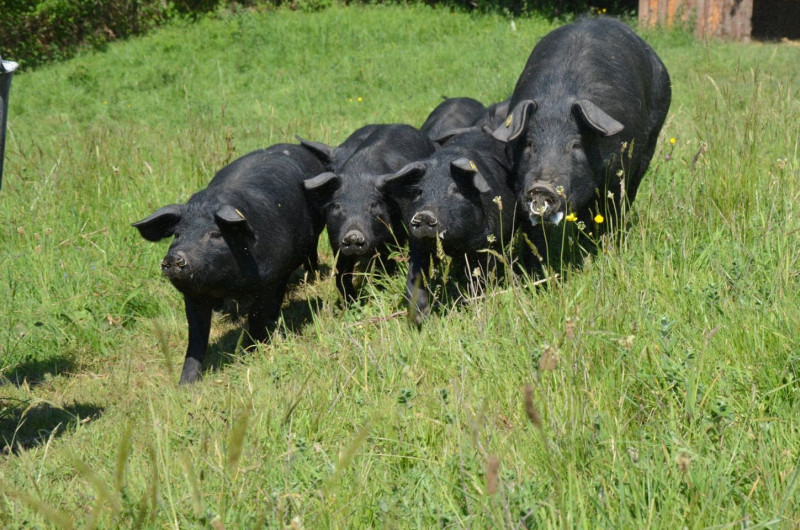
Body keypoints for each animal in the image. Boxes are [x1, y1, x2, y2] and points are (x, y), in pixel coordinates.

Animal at [131, 144, 324, 384]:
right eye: (177, 234)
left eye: (215, 234)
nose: (175, 258)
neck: (224, 283)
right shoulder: (193, 295)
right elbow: (196, 336)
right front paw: (186, 384)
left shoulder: (268, 280)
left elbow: (255, 318)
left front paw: (250, 354)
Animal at [302, 121, 438, 300]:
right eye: (337, 206)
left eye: (373, 204)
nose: (353, 235)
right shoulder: (336, 240)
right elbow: (342, 276)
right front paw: (351, 302)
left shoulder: (392, 237)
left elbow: (385, 267)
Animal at [376, 130, 516, 324]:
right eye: (419, 192)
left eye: (455, 189)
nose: (424, 215)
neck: (455, 245)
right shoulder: (418, 244)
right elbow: (414, 277)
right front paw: (419, 318)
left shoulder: (489, 243)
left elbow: (481, 276)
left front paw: (473, 305)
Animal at [494, 17, 668, 241]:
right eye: (529, 143)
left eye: (576, 145)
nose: (541, 187)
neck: (557, 99)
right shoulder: (518, 182)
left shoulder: (617, 172)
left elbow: (609, 211)